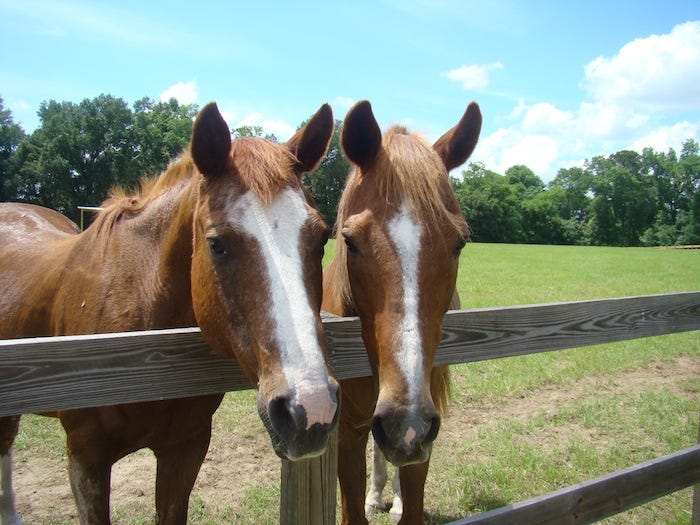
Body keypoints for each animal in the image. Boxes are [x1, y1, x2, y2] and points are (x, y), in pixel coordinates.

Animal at [322, 100, 482, 520]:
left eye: (459, 243)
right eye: (350, 241)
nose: (404, 423)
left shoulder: (424, 425)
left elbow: (412, 495)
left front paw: (400, 502)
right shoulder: (349, 429)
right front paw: (370, 497)